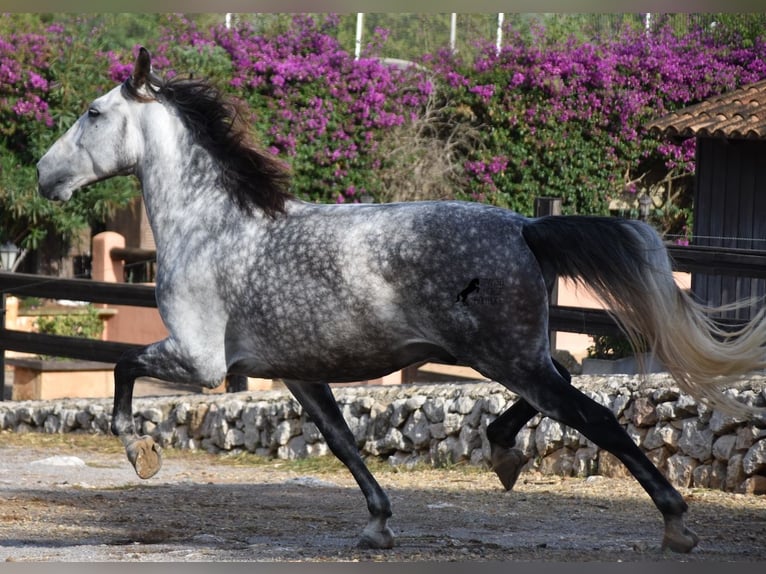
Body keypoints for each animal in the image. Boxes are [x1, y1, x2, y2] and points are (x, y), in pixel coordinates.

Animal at [37, 50, 766, 560]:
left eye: (93, 114)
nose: (45, 175)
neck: (212, 226)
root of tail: (524, 226)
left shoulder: (201, 362)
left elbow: (123, 369)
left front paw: (141, 453)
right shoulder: (296, 373)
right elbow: (341, 441)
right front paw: (378, 525)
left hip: (503, 355)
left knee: (595, 416)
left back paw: (675, 524)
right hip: (514, 352)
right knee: (566, 374)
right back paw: (504, 454)